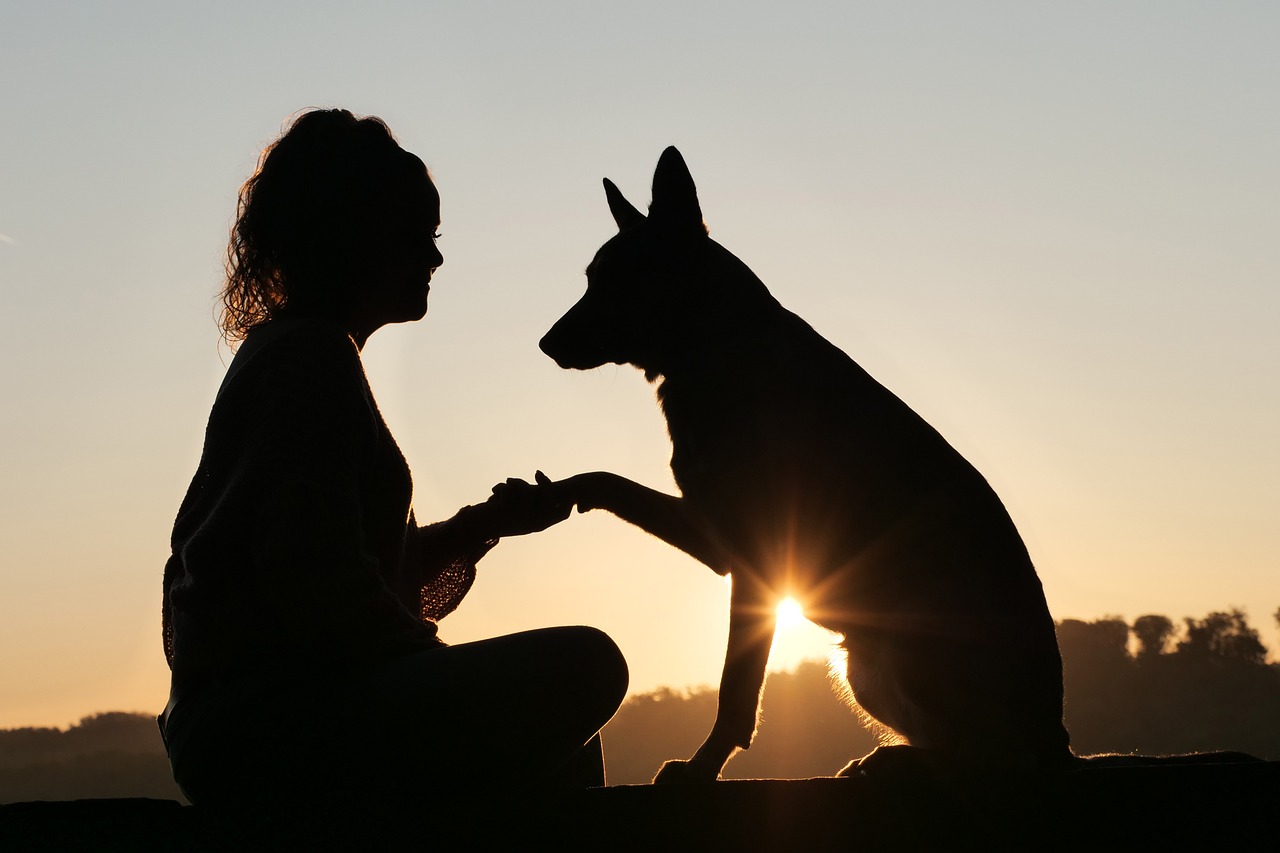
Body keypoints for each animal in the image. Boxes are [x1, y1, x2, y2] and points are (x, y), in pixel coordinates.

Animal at [537, 146, 1070, 778]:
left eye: (615, 281)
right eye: (592, 279)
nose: (545, 344)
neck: (719, 347)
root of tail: (1058, 739)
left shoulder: (754, 566)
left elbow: (736, 689)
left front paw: (703, 766)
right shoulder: (719, 542)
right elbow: (606, 479)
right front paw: (554, 493)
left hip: (905, 633)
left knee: (990, 755)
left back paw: (898, 762)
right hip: (864, 665)